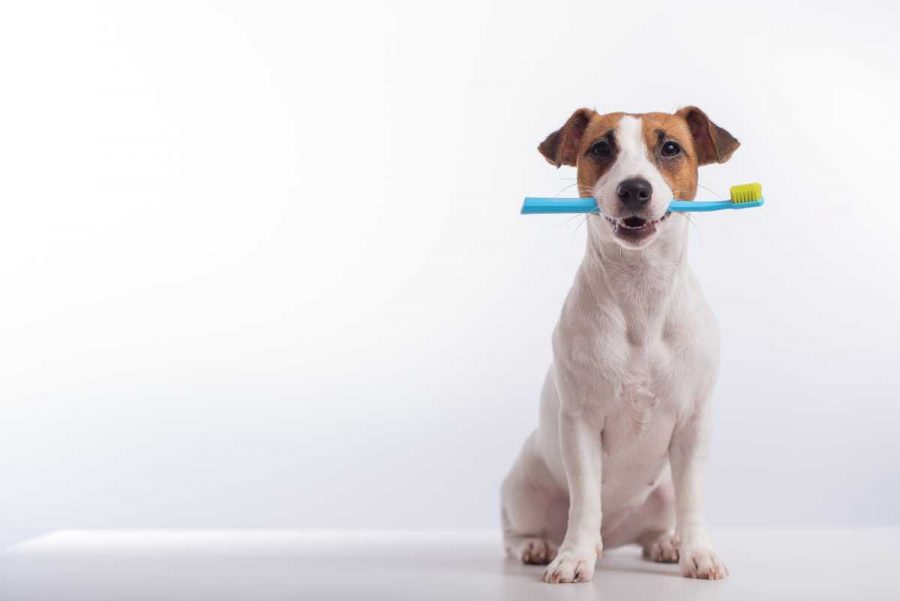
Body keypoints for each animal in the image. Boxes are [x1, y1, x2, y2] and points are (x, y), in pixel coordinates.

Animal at [500, 106, 740, 580]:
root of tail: (612, 539)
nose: (634, 189)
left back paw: (665, 543)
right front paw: (573, 557)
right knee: (516, 532)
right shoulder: (580, 425)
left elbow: (692, 498)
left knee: (657, 523)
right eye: (600, 148)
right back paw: (538, 545)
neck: (640, 292)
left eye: (671, 148)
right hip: (523, 485)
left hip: (661, 492)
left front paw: (698, 552)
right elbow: (584, 500)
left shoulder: (694, 424)